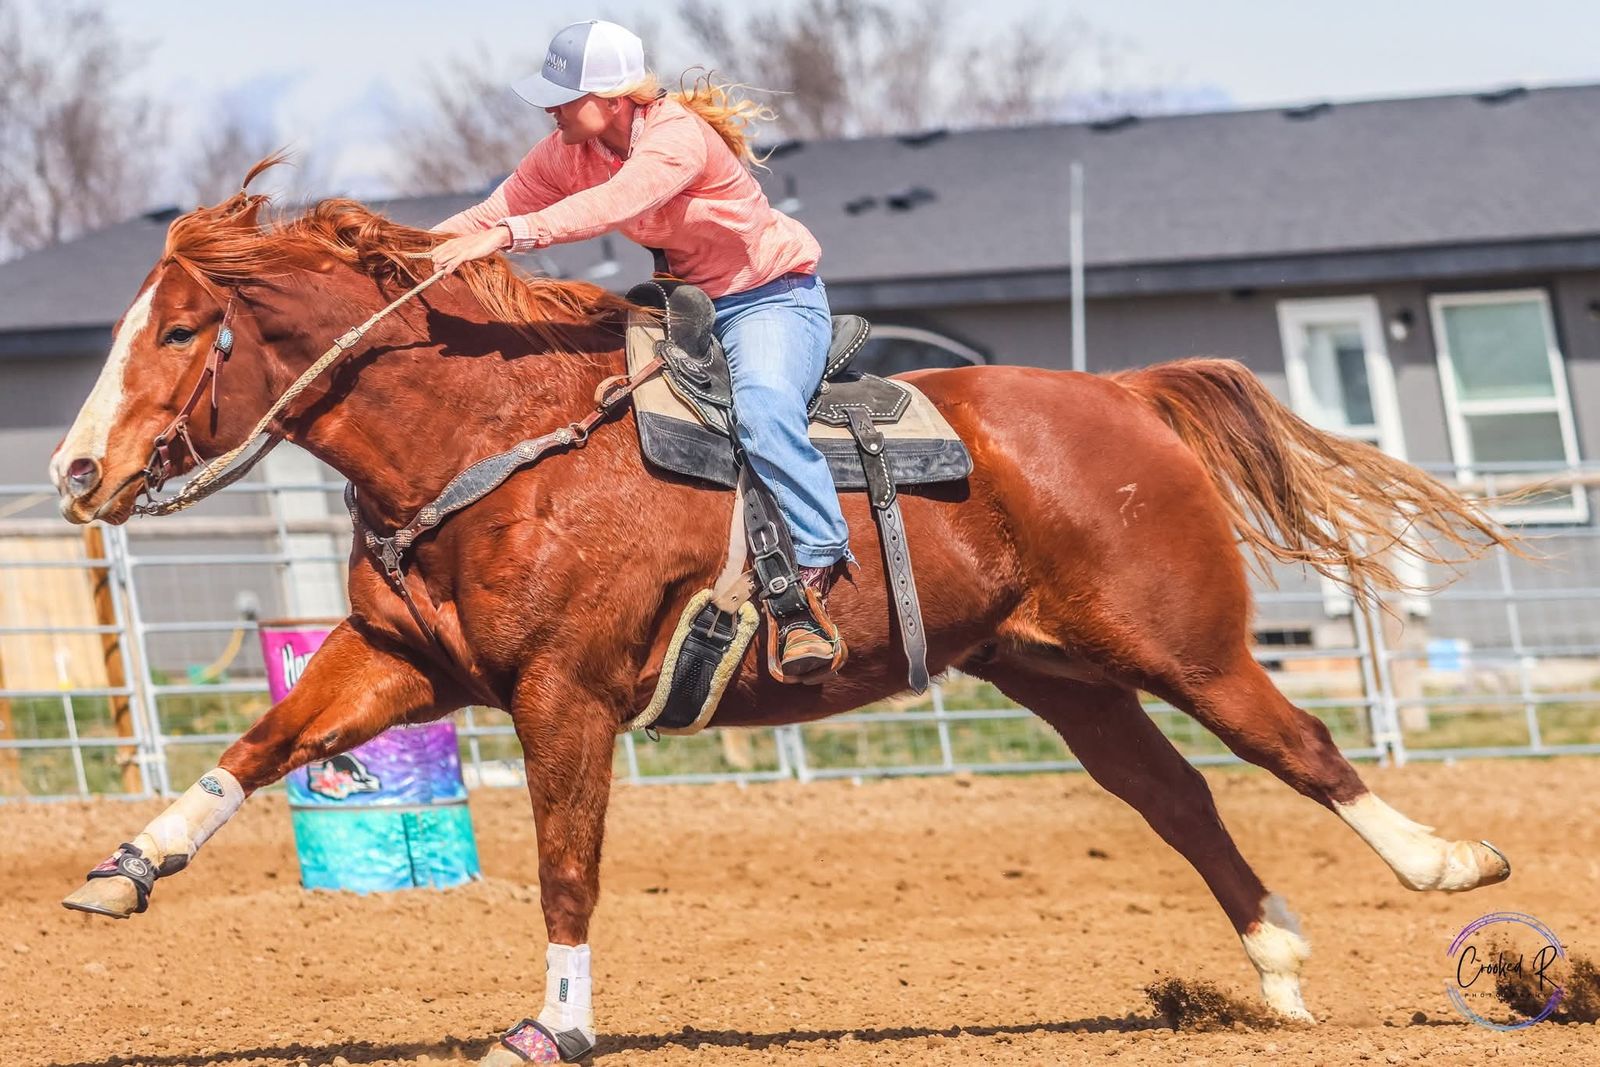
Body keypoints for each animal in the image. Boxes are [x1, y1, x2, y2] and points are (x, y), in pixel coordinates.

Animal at [49, 171, 1517, 1064]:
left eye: (177, 330)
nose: (73, 472)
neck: (493, 440)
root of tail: (1120, 391)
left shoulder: (564, 694)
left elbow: (566, 867)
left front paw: (553, 1024)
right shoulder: (404, 660)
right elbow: (258, 744)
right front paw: (122, 869)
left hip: (1183, 643)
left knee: (1297, 746)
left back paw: (1447, 867)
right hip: (1060, 674)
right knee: (1178, 796)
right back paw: (1275, 965)